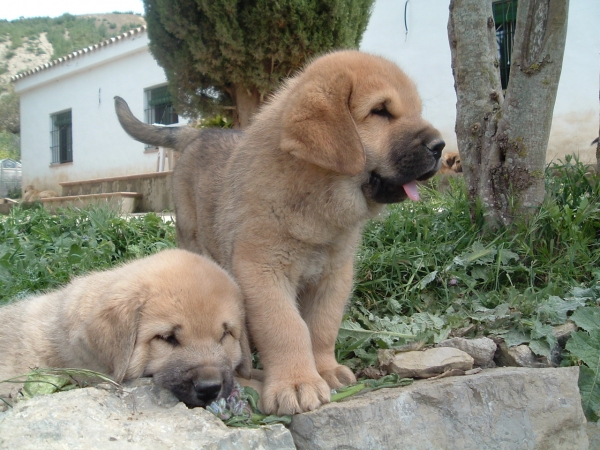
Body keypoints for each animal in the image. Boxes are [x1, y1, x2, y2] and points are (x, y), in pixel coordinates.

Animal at [116, 50, 446, 414]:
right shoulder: (263, 273)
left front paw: (325, 370)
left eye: (416, 111)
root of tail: (198, 133)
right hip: (193, 236)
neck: (315, 197)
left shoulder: (334, 276)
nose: (440, 147)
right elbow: (287, 328)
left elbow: (322, 327)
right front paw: (297, 383)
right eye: (381, 111)